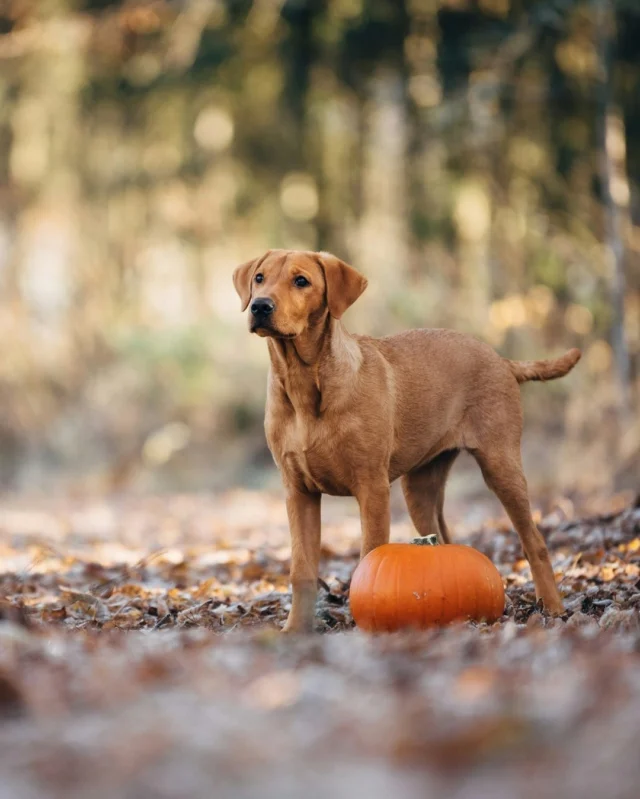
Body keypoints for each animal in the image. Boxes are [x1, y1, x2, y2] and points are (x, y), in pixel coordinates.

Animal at [234, 250, 580, 632]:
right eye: (260, 278)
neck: (304, 384)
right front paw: (295, 629)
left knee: (534, 541)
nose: (260, 307)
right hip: (419, 487)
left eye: (301, 281)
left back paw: (553, 608)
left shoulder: (372, 487)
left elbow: (368, 558)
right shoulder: (298, 492)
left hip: (500, 464)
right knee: (443, 540)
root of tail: (502, 360)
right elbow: (301, 570)